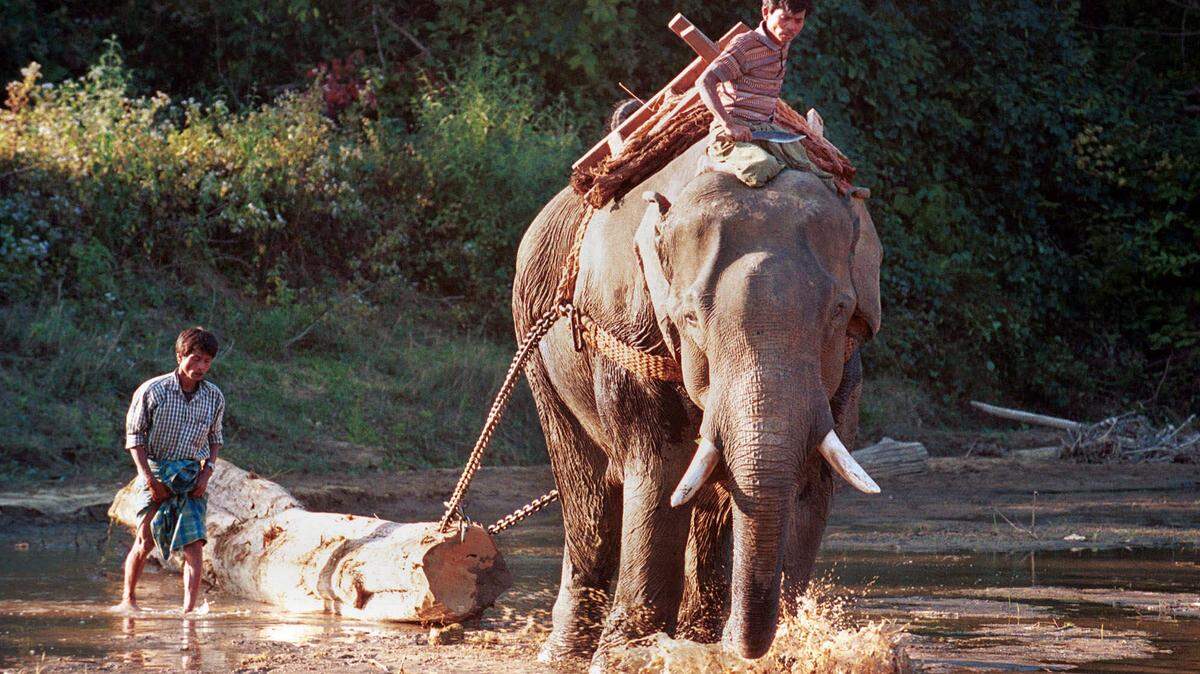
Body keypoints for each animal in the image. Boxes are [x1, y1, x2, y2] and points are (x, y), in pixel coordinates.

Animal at [511, 132, 882, 669]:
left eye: (838, 310)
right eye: (689, 318)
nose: (740, 644)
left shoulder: (848, 367)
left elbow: (812, 479)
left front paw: (785, 651)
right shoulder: (631, 338)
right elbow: (658, 469)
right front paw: (626, 659)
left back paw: (695, 632)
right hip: (535, 342)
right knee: (588, 496)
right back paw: (567, 654)